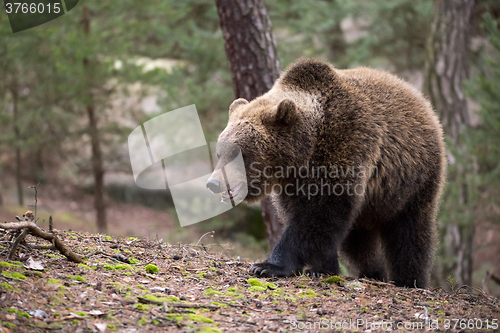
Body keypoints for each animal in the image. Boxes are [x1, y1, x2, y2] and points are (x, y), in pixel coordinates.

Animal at [205, 58, 448, 286]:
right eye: (219, 153)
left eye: (238, 154)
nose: (213, 183)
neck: (305, 151)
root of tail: (422, 102)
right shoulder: (293, 183)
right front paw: (321, 268)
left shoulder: (345, 147)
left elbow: (315, 216)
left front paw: (268, 266)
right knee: (358, 238)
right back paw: (373, 271)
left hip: (413, 178)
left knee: (409, 231)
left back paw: (409, 279)